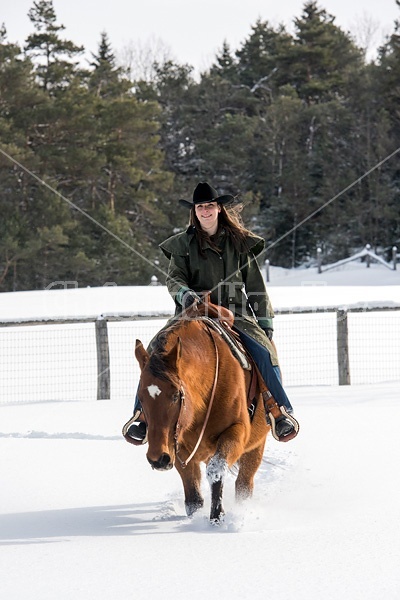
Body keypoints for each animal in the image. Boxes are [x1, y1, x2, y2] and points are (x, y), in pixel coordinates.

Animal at [136, 302, 270, 524]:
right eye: (140, 396)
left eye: (176, 395)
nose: (157, 458)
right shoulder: (177, 445)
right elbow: (192, 493)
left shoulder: (236, 431)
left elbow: (216, 469)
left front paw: (217, 516)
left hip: (255, 447)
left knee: (244, 484)